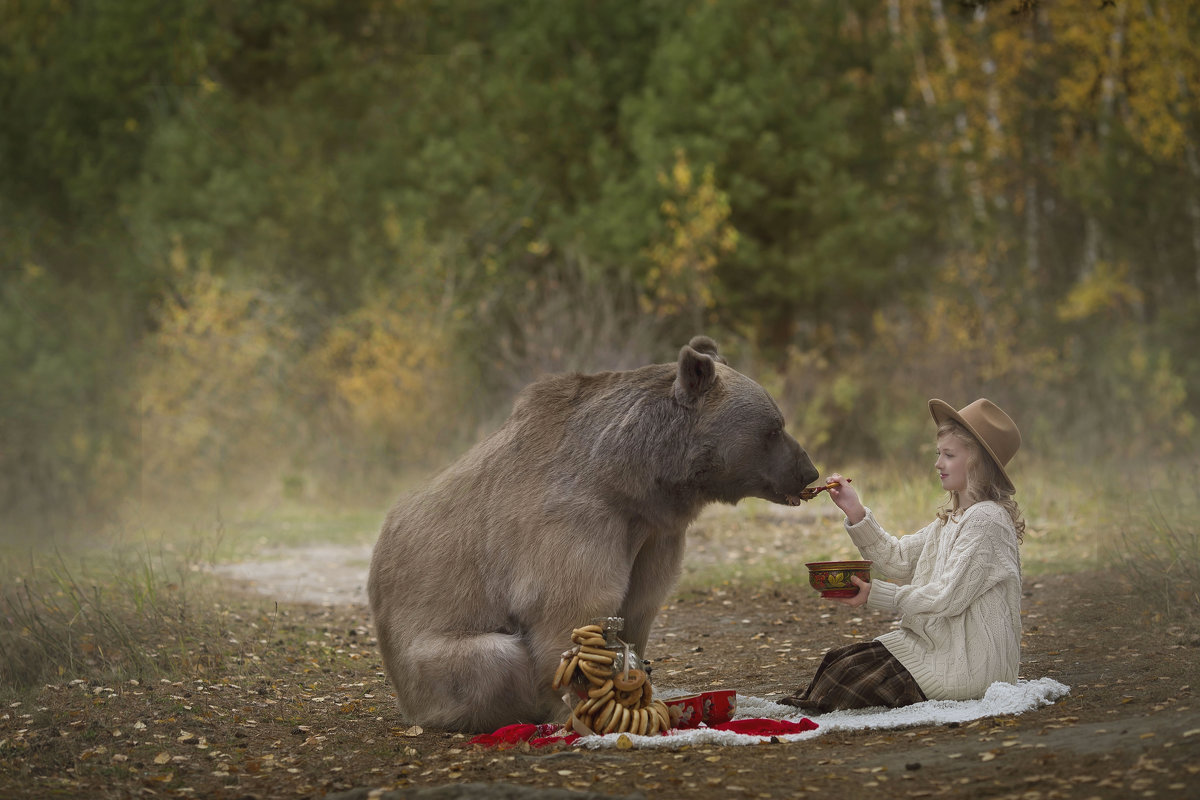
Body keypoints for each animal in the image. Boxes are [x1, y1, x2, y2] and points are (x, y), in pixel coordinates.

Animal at [369, 335, 820, 734]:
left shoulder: (654, 536)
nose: (809, 471)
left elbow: (640, 604)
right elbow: (572, 605)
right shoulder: (575, 521)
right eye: (774, 428)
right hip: (429, 658)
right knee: (493, 660)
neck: (633, 480)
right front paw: (580, 705)